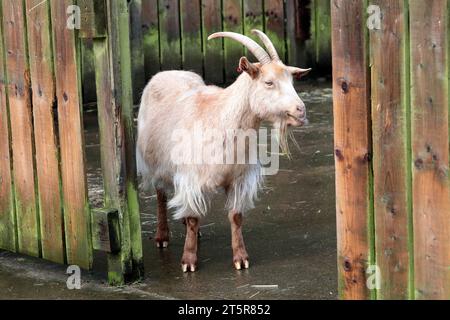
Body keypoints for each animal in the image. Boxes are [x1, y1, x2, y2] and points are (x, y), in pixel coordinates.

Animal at [137, 29, 312, 272]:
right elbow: (193, 218)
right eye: (269, 82)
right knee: (161, 195)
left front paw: (240, 258)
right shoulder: (191, 177)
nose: (300, 111)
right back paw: (162, 236)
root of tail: (168, 72)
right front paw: (189, 260)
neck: (222, 119)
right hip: (154, 162)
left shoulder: (239, 179)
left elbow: (236, 217)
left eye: (291, 80)